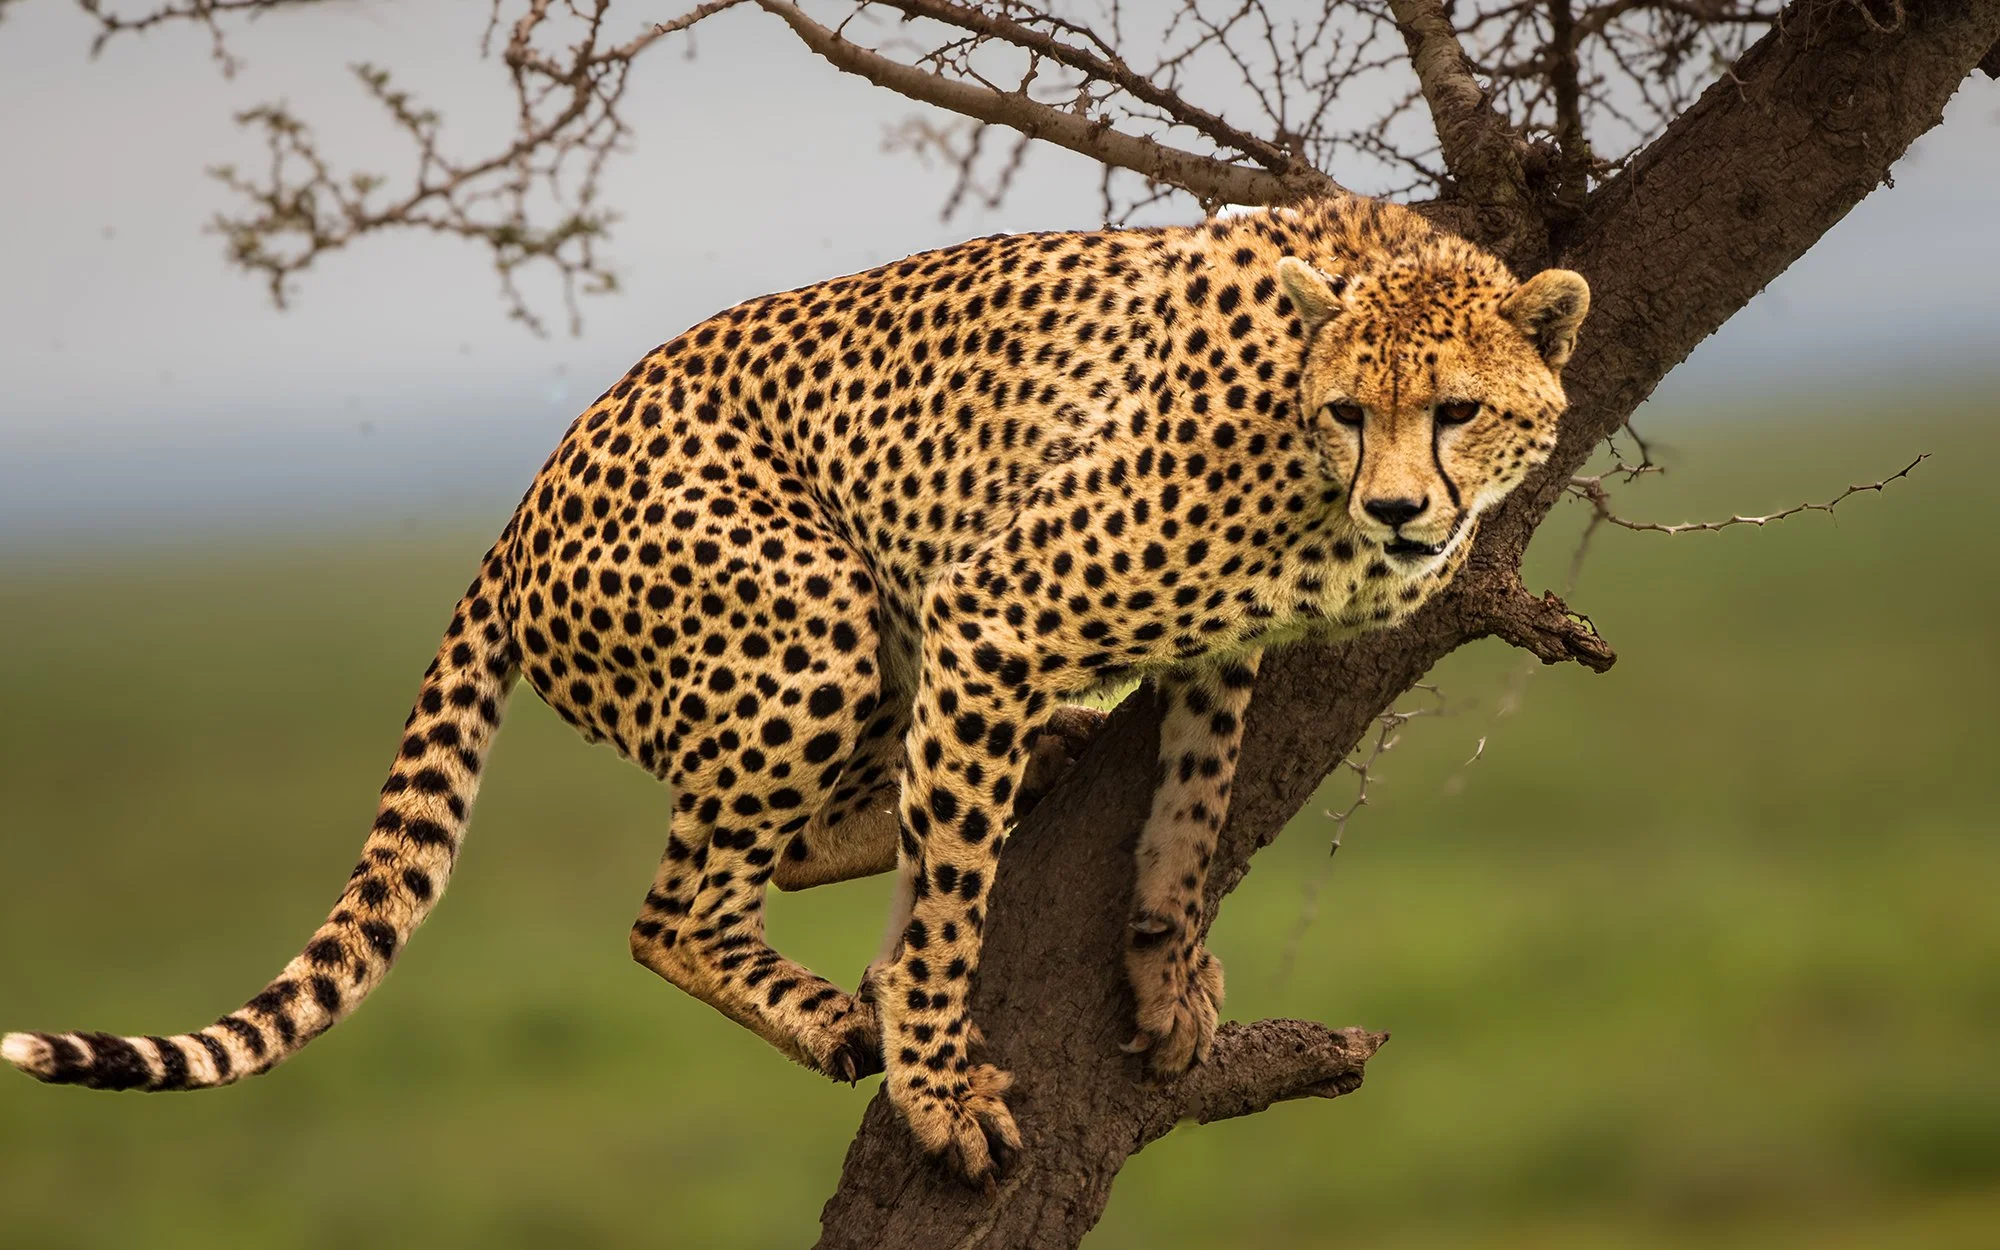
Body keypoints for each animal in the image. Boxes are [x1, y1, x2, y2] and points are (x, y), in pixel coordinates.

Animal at [3, 193, 1587, 1183]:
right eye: (1351, 409)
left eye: (1457, 409)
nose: (1401, 509)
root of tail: (519, 507)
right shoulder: (994, 610)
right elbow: (953, 905)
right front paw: (938, 1085)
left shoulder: (1197, 639)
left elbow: (1191, 801)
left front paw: (1164, 959)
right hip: (815, 610)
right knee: (682, 904)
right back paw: (853, 1005)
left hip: (874, 639)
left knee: (831, 827)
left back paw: (1006, 809)